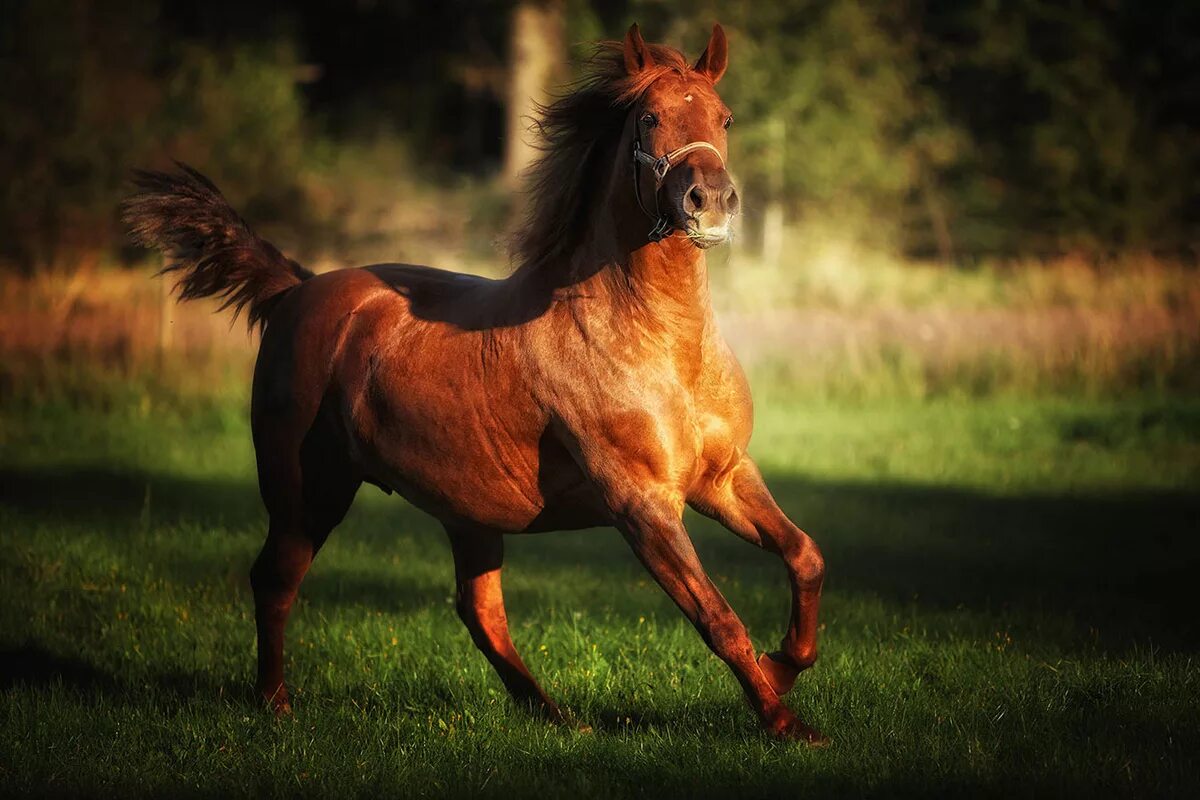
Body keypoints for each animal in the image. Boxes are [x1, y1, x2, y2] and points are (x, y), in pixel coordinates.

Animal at [126, 23, 830, 743]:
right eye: (651, 117)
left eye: (725, 117)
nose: (710, 204)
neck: (657, 342)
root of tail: (299, 288)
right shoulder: (642, 504)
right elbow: (718, 618)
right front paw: (787, 723)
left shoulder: (724, 476)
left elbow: (805, 556)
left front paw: (784, 666)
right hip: (308, 492)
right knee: (275, 580)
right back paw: (276, 704)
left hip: (466, 511)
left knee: (479, 612)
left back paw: (557, 717)